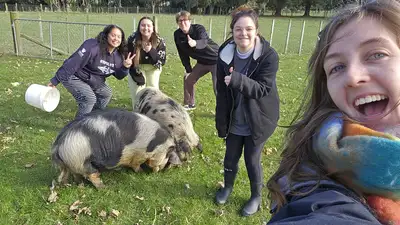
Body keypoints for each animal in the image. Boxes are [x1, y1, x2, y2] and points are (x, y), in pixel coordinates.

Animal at [50, 109, 187, 188]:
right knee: (92, 175)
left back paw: (78, 185)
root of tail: (58, 146)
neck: (155, 144)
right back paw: (103, 187)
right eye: (168, 155)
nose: (163, 170)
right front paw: (141, 172)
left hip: (74, 163)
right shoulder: (139, 154)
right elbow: (136, 164)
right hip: (82, 160)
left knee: (75, 175)